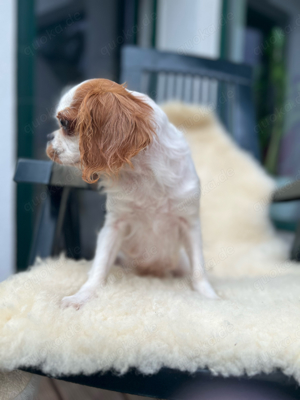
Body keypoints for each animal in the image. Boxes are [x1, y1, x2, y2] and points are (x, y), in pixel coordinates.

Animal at [47, 79, 220, 310]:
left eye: (64, 123)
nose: (49, 140)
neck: (142, 173)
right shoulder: (114, 226)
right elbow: (99, 267)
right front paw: (83, 296)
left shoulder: (189, 223)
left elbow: (199, 269)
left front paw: (209, 297)